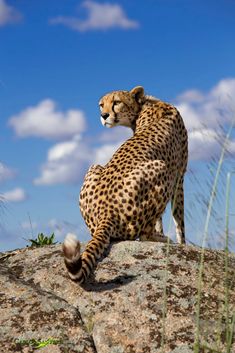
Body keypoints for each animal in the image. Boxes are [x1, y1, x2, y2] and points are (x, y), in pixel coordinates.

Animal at [62, 86, 187, 284]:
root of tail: (105, 212)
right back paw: (163, 239)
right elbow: (179, 219)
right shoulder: (179, 177)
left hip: (94, 167)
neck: (145, 105)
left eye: (116, 102)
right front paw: (183, 244)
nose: (104, 115)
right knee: (144, 234)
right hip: (162, 167)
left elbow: (162, 219)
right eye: (101, 105)